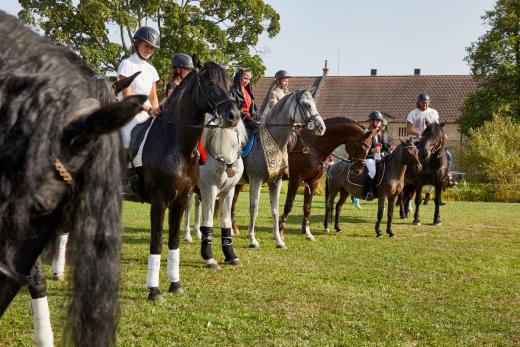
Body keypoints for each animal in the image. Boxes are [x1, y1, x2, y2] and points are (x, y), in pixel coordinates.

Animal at [127, 61, 239, 300]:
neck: (173, 143)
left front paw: (175, 284)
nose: (233, 116)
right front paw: (154, 290)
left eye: (229, 83)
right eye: (209, 82)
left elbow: (174, 240)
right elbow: (156, 241)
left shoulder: (179, 200)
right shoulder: (159, 202)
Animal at [197, 115, 250, 268]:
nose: (233, 118)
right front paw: (209, 258)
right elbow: (208, 222)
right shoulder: (210, 191)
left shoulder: (228, 192)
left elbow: (226, 222)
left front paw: (231, 256)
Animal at [232, 89, 324, 250]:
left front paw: (279, 240)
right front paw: (253, 240)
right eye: (307, 105)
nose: (321, 128)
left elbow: (275, 210)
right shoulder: (256, 181)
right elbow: (254, 208)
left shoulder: (276, 182)